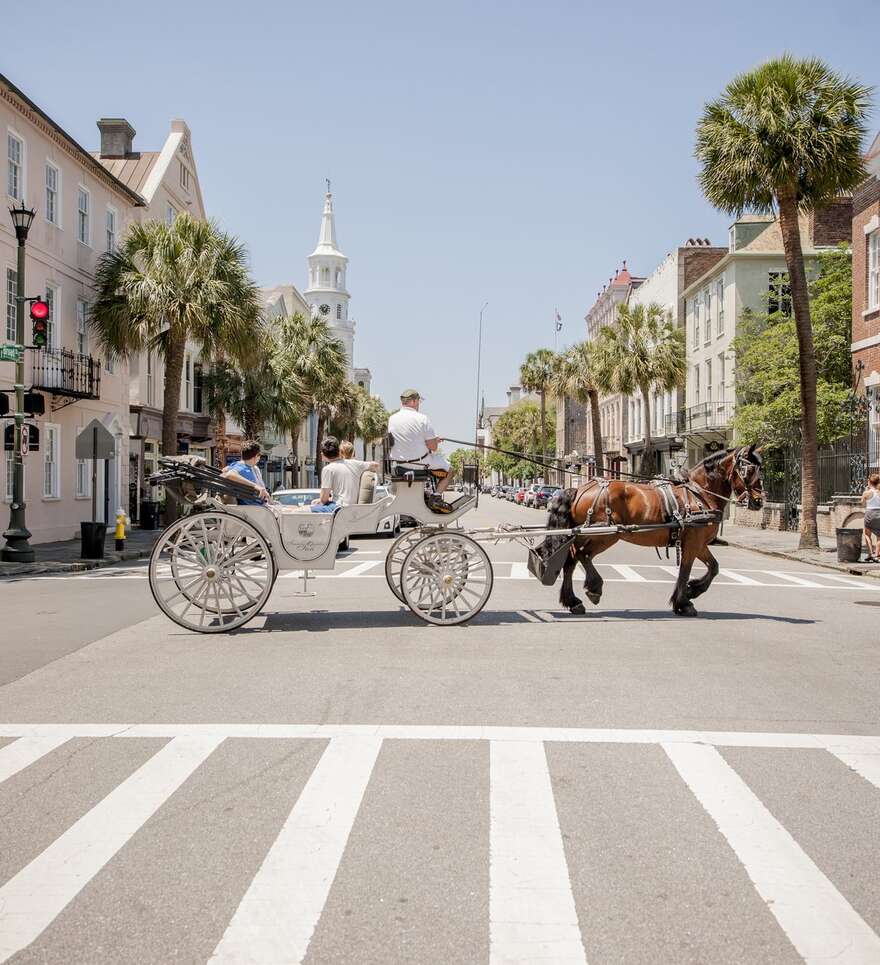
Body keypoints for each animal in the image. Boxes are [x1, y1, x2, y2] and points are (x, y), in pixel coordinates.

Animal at [544, 446, 764, 616]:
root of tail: (579, 490)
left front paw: (693, 591)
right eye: (749, 470)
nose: (759, 501)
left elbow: (714, 567)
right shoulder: (693, 542)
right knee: (583, 556)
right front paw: (684, 603)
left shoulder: (699, 543)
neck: (699, 494)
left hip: (584, 535)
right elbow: (685, 571)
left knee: (571, 561)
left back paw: (573, 601)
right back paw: (594, 588)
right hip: (605, 535)